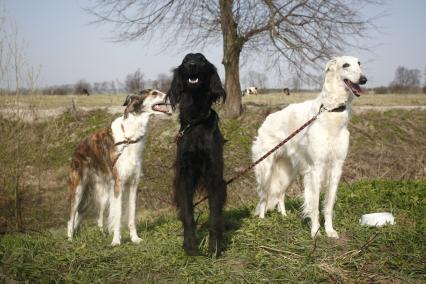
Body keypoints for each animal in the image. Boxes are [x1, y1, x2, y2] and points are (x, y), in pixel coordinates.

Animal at [66, 90, 171, 245]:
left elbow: (131, 216)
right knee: (72, 216)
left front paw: (134, 238)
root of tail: (77, 149)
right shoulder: (119, 185)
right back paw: (70, 238)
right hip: (78, 189)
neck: (130, 138)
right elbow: (118, 216)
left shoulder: (133, 184)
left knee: (94, 216)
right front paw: (116, 241)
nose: (170, 95)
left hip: (102, 194)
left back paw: (100, 234)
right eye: (154, 93)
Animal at [166, 52, 226, 255]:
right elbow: (188, 214)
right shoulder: (184, 175)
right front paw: (190, 245)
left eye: (202, 60)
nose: (192, 65)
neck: (196, 121)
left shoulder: (214, 175)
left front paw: (215, 247)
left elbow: (215, 216)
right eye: (185, 61)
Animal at [253, 55, 366, 237]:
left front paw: (330, 231)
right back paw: (262, 220)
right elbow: (314, 205)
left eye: (359, 63)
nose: (364, 79)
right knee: (264, 196)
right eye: (345, 65)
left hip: (288, 172)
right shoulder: (316, 168)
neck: (331, 111)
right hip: (265, 169)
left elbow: (328, 205)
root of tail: (266, 119)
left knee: (280, 195)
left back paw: (284, 215)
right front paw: (315, 231)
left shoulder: (337, 166)